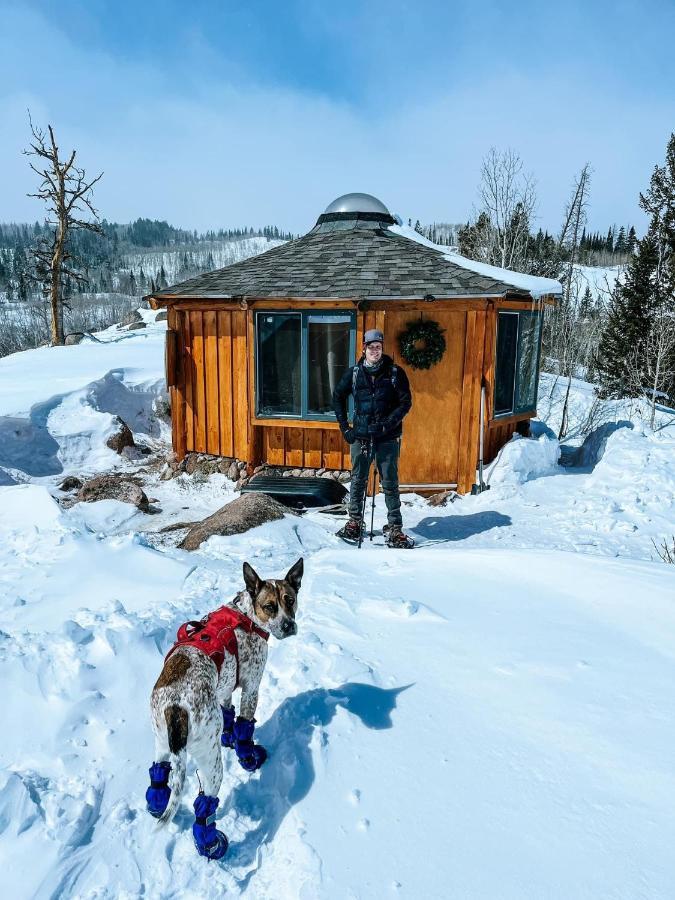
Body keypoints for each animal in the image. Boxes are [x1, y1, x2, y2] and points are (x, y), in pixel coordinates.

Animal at [145, 556, 304, 856]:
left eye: (290, 600)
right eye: (270, 606)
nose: (289, 626)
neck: (247, 616)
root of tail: (175, 707)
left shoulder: (225, 690)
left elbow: (229, 717)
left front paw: (229, 738)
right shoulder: (251, 687)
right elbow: (244, 728)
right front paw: (249, 757)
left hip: (161, 741)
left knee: (159, 774)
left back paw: (156, 804)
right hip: (210, 760)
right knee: (205, 804)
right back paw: (211, 842)